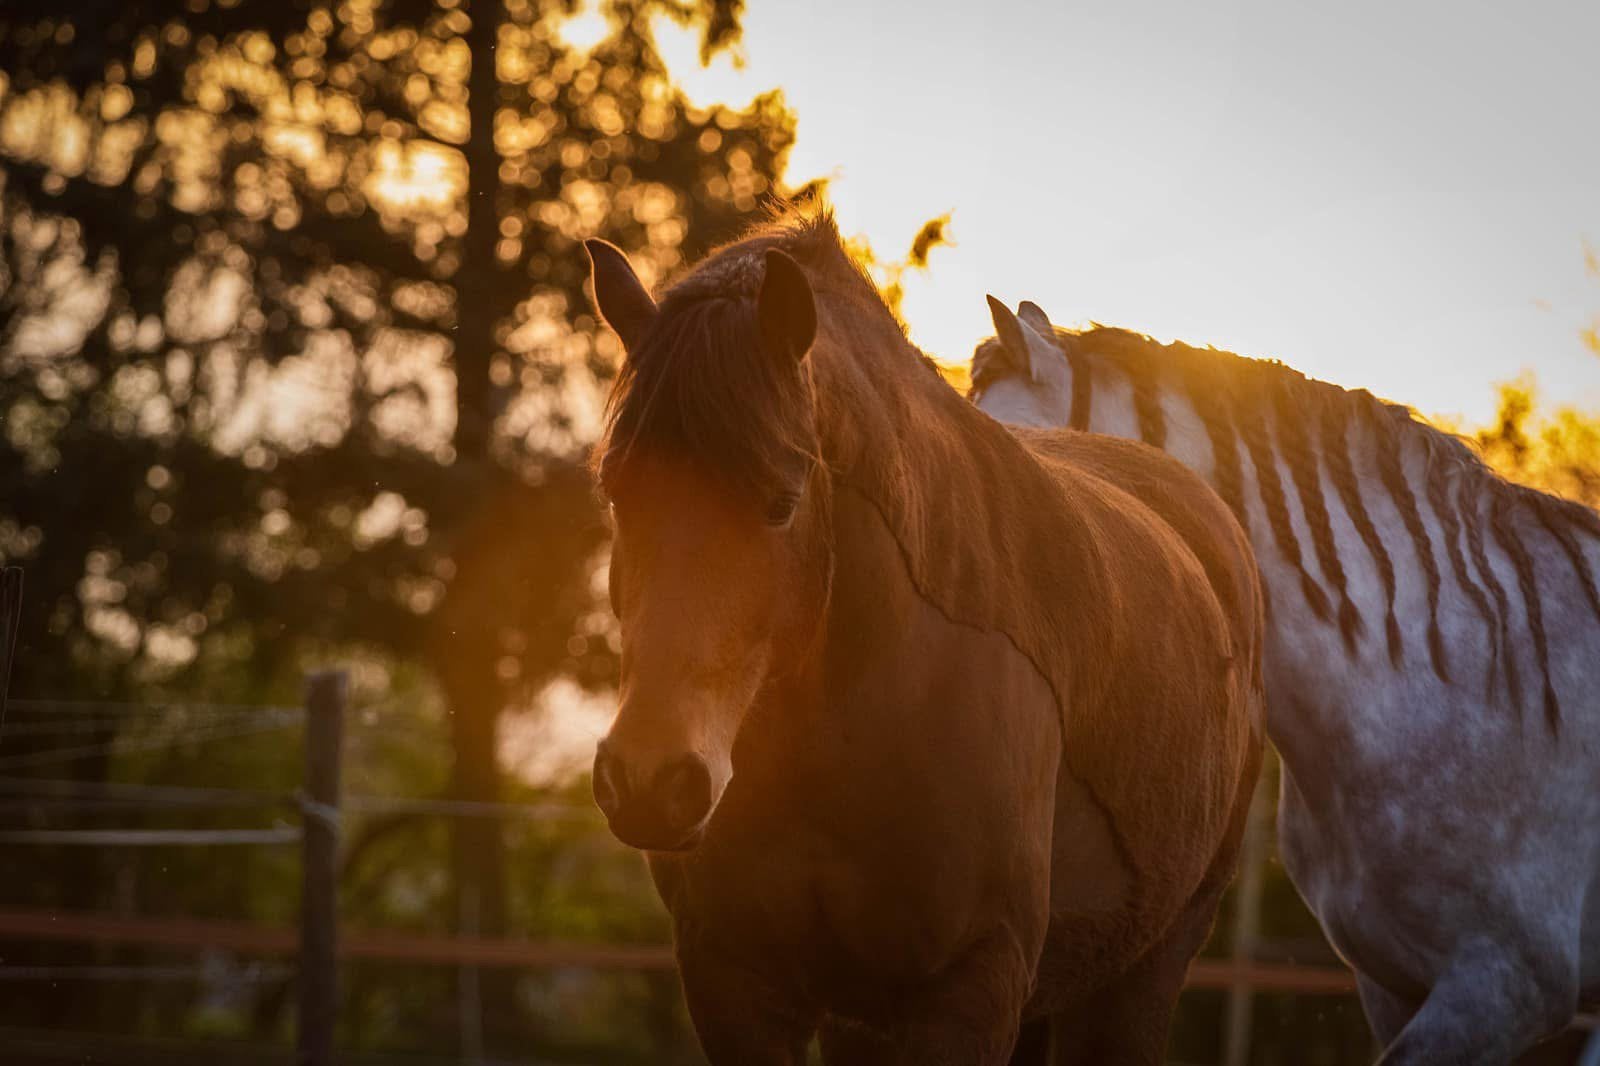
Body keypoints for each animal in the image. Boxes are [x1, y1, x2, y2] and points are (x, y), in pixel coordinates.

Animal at [582, 212, 1263, 1065]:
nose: (650, 782)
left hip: (1143, 968)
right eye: (615, 493)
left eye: (782, 502)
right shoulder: (734, 984)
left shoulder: (968, 988)